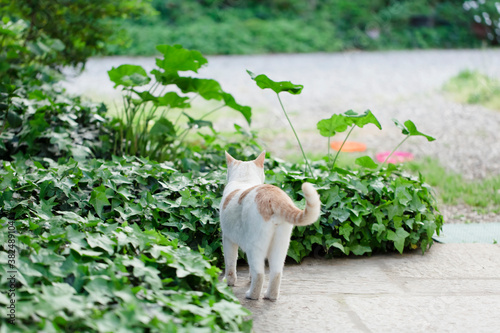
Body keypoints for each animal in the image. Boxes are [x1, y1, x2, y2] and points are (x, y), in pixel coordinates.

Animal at [219, 152, 320, 300]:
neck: (244, 180)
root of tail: (274, 196)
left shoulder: (228, 239)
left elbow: (230, 263)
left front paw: (228, 282)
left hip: (255, 246)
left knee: (260, 274)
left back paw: (252, 295)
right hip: (280, 247)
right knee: (276, 273)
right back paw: (270, 296)